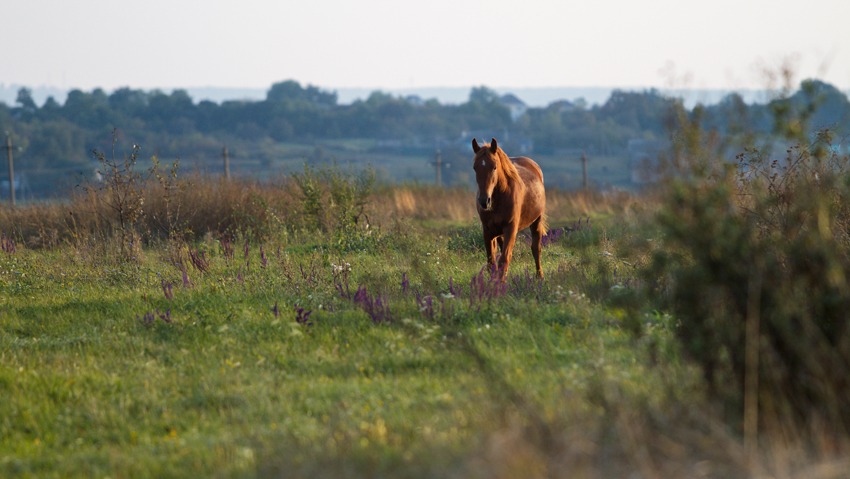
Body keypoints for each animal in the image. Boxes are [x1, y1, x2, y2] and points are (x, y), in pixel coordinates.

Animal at [468, 137, 548, 280]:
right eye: (475, 167)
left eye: (494, 167)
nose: (484, 201)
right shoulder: (487, 231)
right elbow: (491, 262)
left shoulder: (511, 228)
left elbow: (504, 259)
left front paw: (500, 284)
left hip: (536, 221)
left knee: (536, 249)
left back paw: (540, 276)